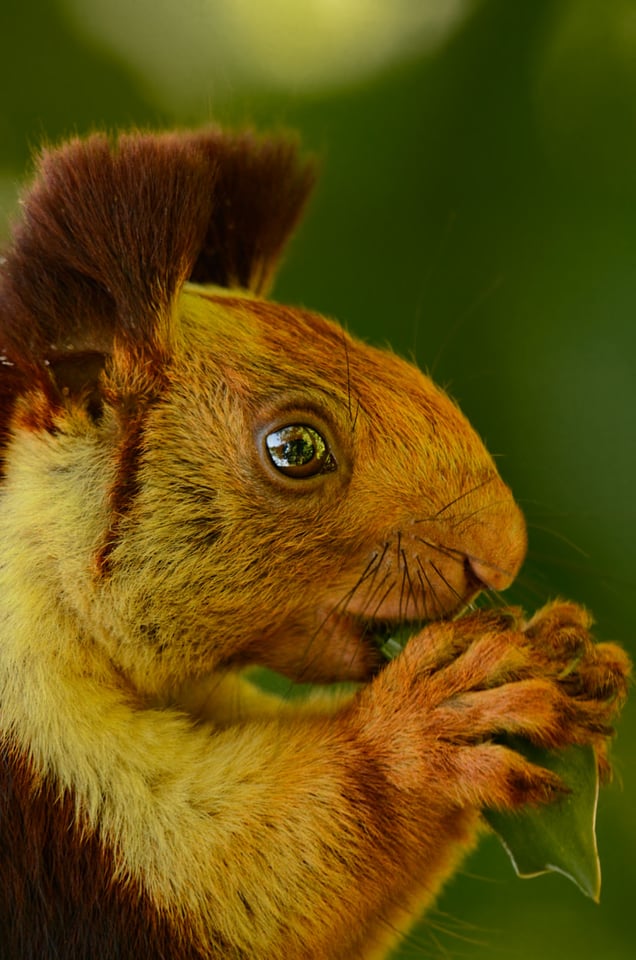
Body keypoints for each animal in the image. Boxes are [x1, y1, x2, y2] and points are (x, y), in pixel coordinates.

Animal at [0, 129, 632, 960]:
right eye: (295, 449)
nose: (503, 550)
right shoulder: (46, 792)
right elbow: (226, 889)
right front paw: (423, 729)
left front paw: (573, 653)